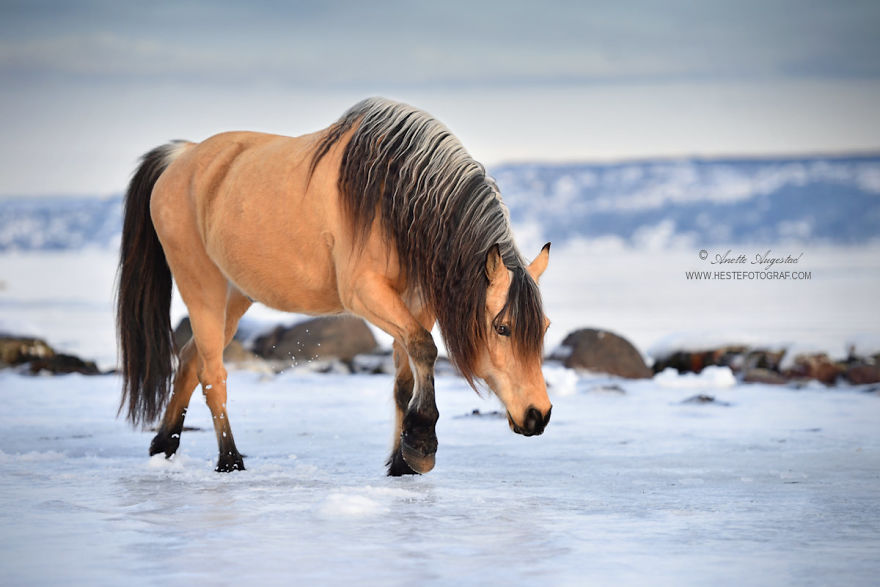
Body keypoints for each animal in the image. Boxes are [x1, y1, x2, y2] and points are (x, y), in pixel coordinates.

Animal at [117, 97, 552, 475]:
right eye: (502, 327)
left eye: (544, 327)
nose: (539, 415)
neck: (396, 197)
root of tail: (182, 157)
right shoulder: (364, 293)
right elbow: (424, 348)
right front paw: (422, 443)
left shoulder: (416, 300)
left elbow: (406, 375)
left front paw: (401, 463)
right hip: (201, 287)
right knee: (212, 373)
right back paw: (229, 459)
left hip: (235, 296)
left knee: (190, 359)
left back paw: (165, 444)